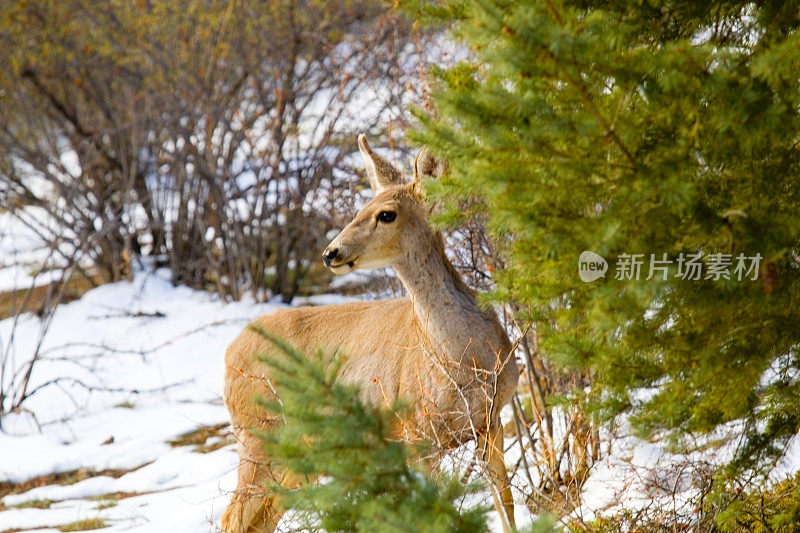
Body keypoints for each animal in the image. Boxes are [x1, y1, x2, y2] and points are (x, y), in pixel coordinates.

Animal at [220, 134, 520, 532]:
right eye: (362, 206)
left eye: (386, 213)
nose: (330, 252)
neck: (463, 356)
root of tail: (228, 354)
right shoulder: (417, 430)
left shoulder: (491, 420)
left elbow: (506, 504)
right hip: (259, 435)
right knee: (233, 515)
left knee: (262, 515)